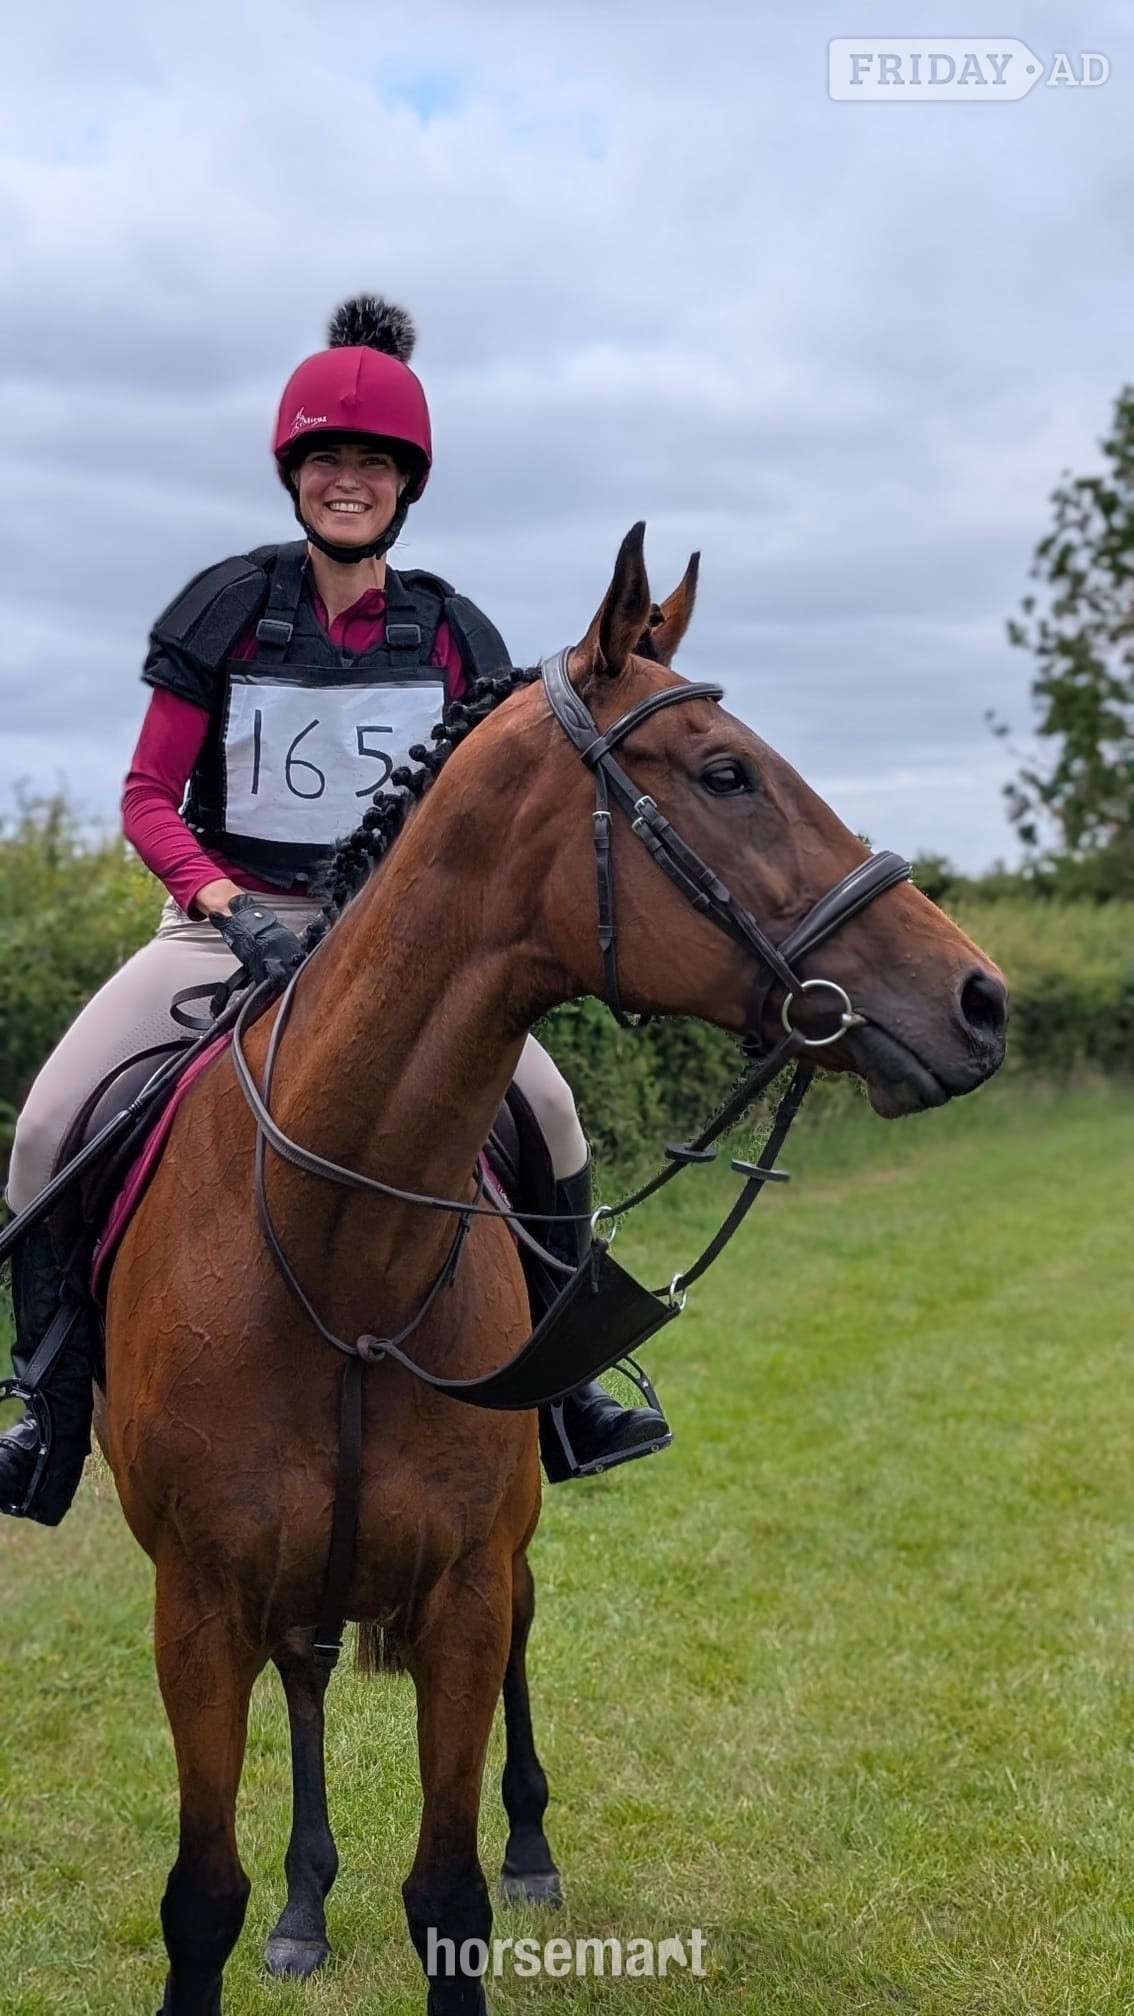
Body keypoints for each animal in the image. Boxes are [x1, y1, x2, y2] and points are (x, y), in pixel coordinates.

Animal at [97, 523, 1007, 2015]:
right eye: (724, 772)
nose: (980, 1003)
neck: (338, 1251)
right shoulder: (200, 1608)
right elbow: (200, 1899)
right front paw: (272, 1902)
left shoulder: (463, 1591)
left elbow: (448, 1891)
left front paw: (493, 1865)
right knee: (306, 1680)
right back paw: (304, 1904)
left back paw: (520, 1852)